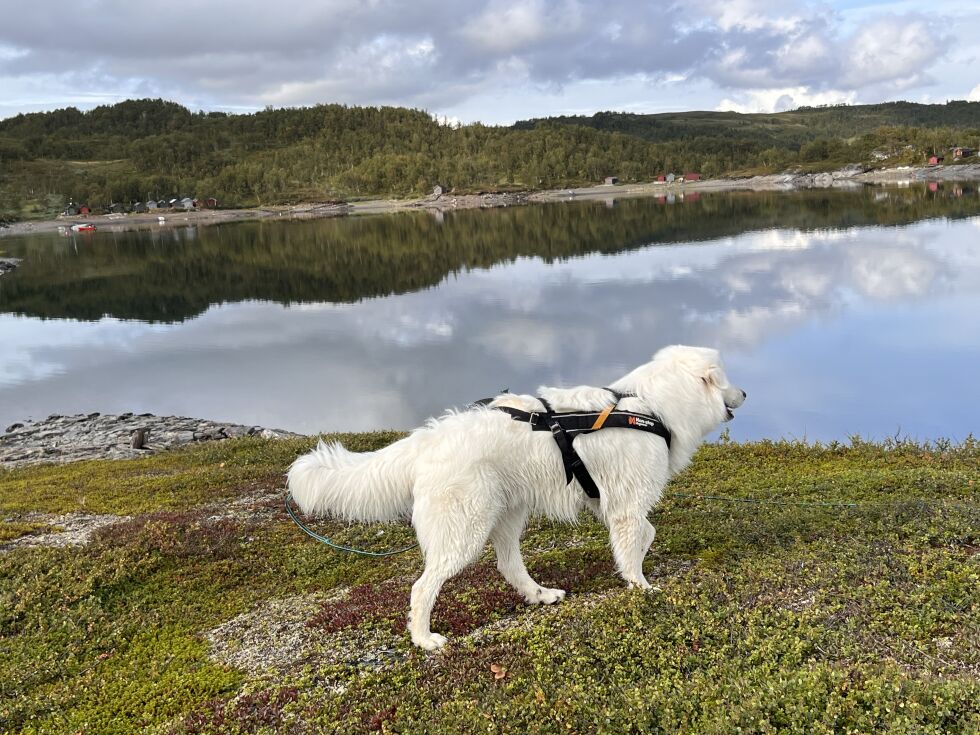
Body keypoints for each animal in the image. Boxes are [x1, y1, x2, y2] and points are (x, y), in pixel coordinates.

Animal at [288, 344, 748, 648]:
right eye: (725, 379)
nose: (744, 394)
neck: (651, 407)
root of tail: (427, 439)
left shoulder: (611, 501)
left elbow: (644, 534)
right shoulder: (627, 504)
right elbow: (635, 543)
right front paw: (641, 585)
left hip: (507, 514)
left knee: (508, 566)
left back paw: (539, 594)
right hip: (465, 529)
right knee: (422, 588)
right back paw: (424, 638)